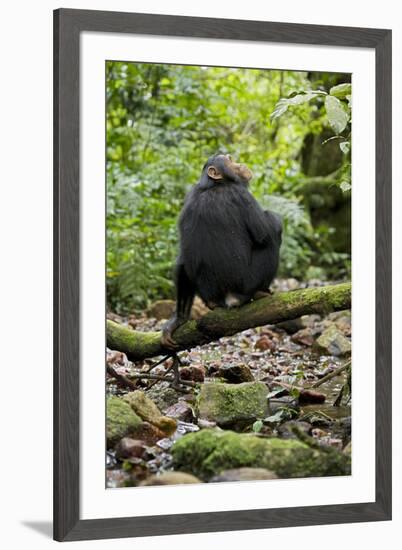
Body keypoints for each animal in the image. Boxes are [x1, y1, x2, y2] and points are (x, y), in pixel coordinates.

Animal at [161, 152, 282, 350]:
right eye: (229, 160)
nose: (239, 163)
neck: (214, 185)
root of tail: (227, 297)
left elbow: (183, 257)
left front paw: (178, 319)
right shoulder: (241, 195)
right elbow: (265, 231)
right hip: (248, 283)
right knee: (271, 237)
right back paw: (260, 292)